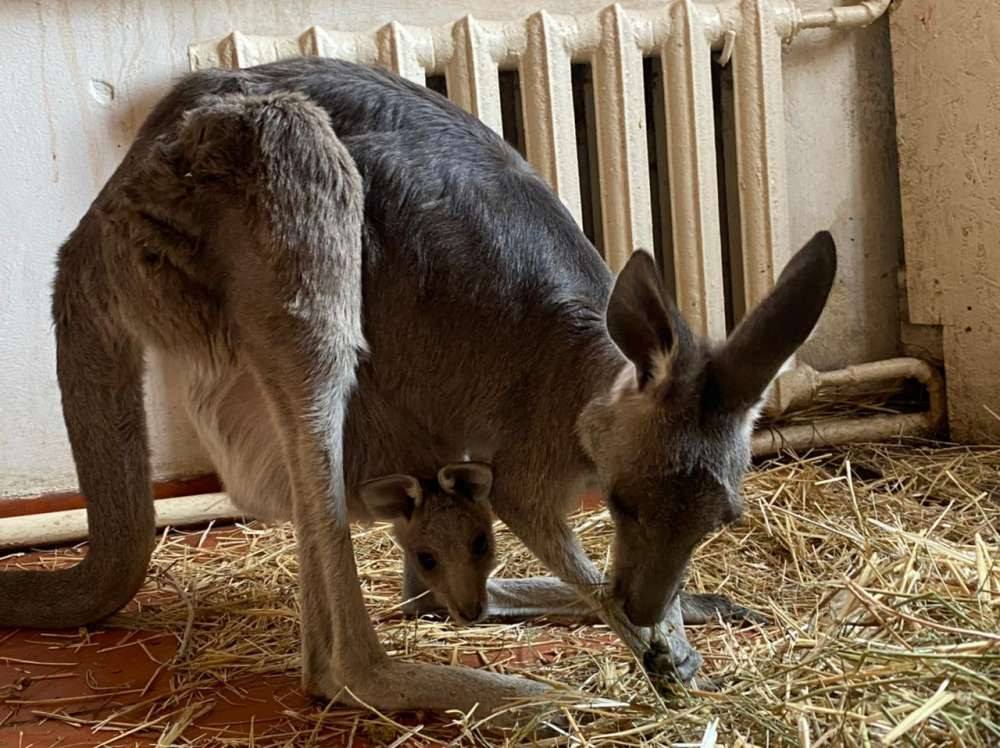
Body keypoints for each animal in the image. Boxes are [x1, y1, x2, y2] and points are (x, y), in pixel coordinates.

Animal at [0, 57, 836, 718]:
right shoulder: (527, 465)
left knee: (425, 585)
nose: (643, 604)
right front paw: (643, 636)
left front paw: (670, 632)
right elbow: (546, 529)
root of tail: (88, 239)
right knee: (339, 651)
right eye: (623, 504)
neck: (587, 380)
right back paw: (518, 695)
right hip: (277, 200)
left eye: (723, 521)